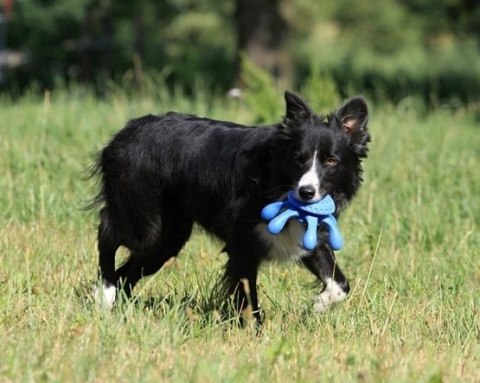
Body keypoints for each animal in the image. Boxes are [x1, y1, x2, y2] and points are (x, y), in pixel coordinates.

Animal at [92, 92, 370, 320]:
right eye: (298, 159)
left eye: (331, 161)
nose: (306, 193)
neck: (274, 177)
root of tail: (126, 131)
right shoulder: (243, 242)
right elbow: (248, 298)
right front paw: (254, 333)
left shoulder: (305, 233)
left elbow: (340, 285)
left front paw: (318, 305)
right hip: (144, 217)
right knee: (108, 235)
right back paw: (106, 294)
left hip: (170, 235)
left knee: (129, 271)